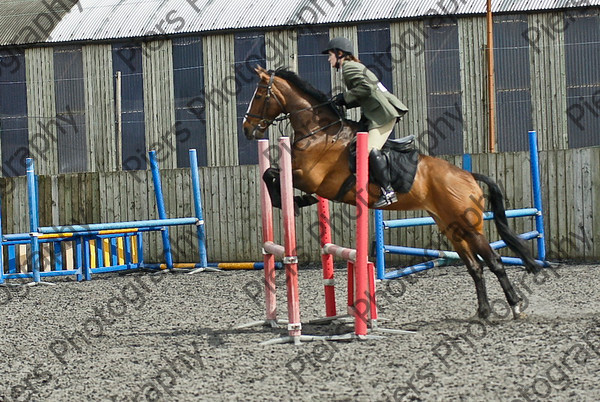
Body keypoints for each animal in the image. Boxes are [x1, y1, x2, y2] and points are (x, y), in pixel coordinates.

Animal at [241, 66, 540, 320]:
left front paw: (290, 200)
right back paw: (483, 312)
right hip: (452, 227)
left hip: (469, 225)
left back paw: (514, 307)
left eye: (259, 95)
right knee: (475, 267)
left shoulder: (309, 176)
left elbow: (272, 174)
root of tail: (468, 176)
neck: (319, 131)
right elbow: (271, 175)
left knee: (494, 261)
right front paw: (297, 200)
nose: (247, 129)